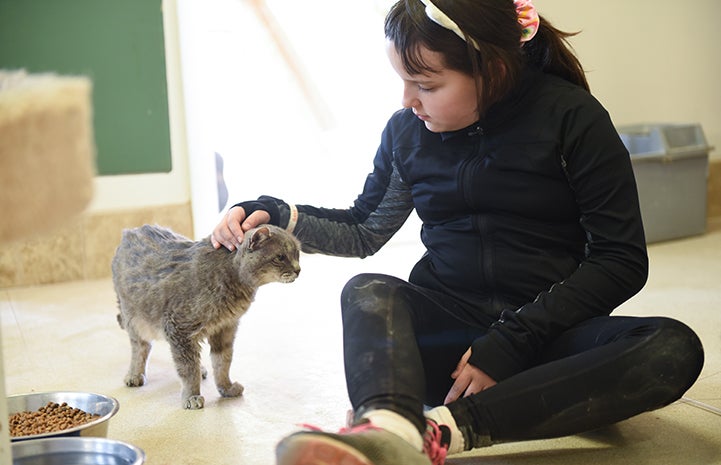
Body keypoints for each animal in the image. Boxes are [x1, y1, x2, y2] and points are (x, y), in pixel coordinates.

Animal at [110, 223, 300, 408]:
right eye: (280, 257)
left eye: (297, 254)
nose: (298, 270)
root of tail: (131, 231)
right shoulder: (178, 329)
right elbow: (188, 370)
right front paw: (191, 396)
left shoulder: (225, 328)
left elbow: (222, 363)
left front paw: (226, 388)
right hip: (135, 321)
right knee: (141, 348)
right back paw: (134, 374)